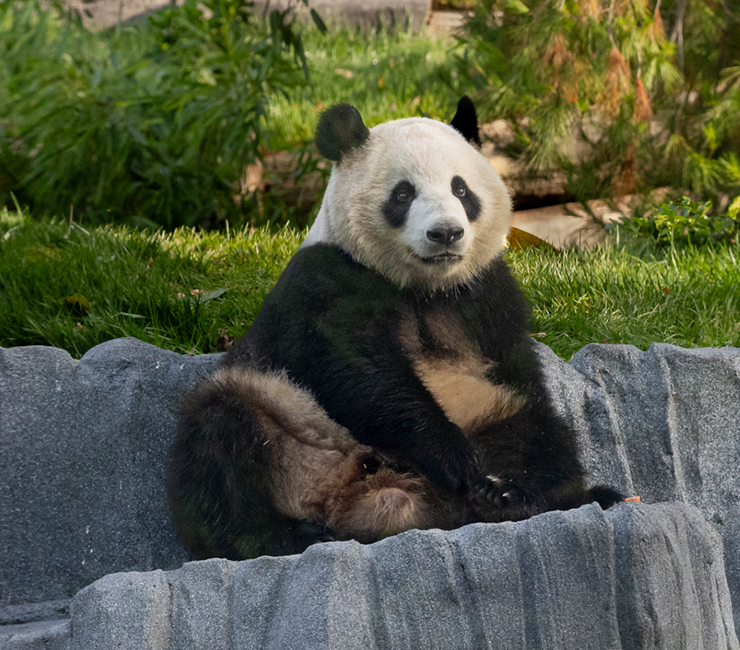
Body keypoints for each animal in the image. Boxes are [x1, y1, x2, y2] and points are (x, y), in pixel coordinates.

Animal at [166, 98, 620, 560]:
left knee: (523, 427)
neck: (424, 287)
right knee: (222, 438)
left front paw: (527, 487)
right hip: (284, 419)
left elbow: (523, 382)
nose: (445, 233)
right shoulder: (328, 280)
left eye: (461, 190)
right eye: (403, 194)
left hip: (480, 409)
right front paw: (453, 458)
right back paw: (282, 535)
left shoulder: (485, 293)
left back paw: (516, 499)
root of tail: (371, 504)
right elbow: (360, 372)